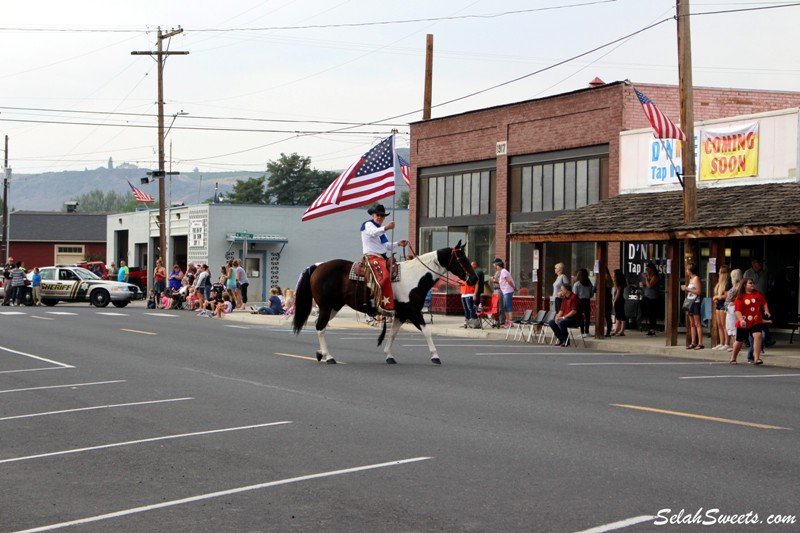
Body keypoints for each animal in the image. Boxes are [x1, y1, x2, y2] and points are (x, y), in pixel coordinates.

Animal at [292, 242, 476, 364]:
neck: (415, 276)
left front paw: (389, 355)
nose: (474, 278)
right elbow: (427, 331)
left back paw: (320, 353)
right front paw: (435, 356)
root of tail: (318, 266)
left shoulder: (402, 314)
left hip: (334, 306)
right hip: (326, 306)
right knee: (321, 327)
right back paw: (329, 357)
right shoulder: (413, 312)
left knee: (319, 325)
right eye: (461, 258)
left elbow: (393, 334)